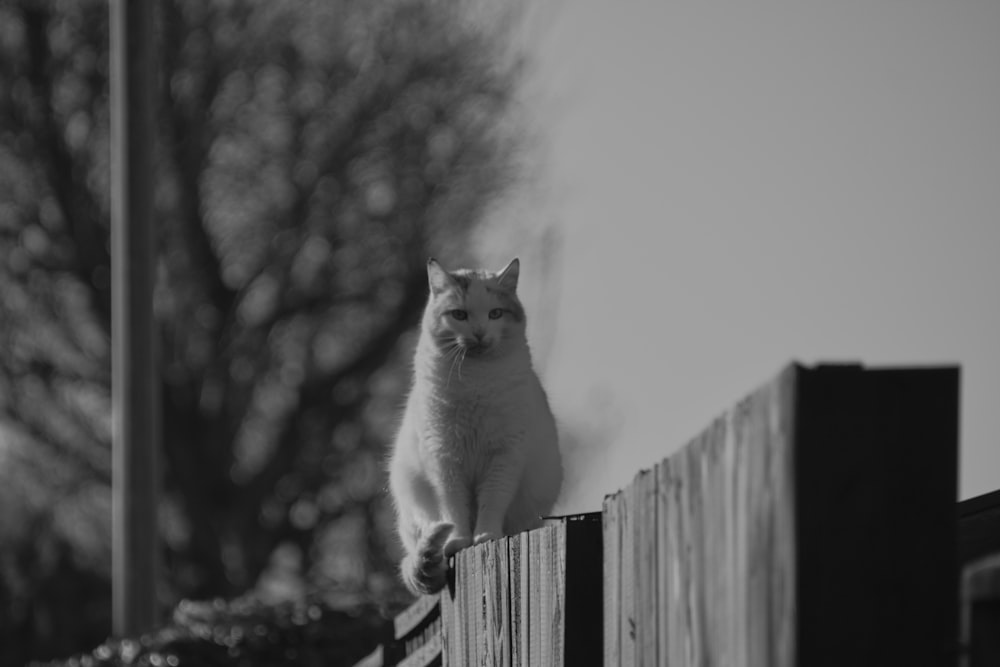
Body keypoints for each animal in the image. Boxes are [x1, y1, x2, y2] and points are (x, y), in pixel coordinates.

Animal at [388, 256, 564, 596]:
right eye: (460, 315)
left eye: (495, 313)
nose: (480, 333)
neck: (475, 379)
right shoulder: (445, 459)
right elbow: (454, 508)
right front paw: (460, 540)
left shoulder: (504, 456)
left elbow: (492, 502)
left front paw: (485, 535)